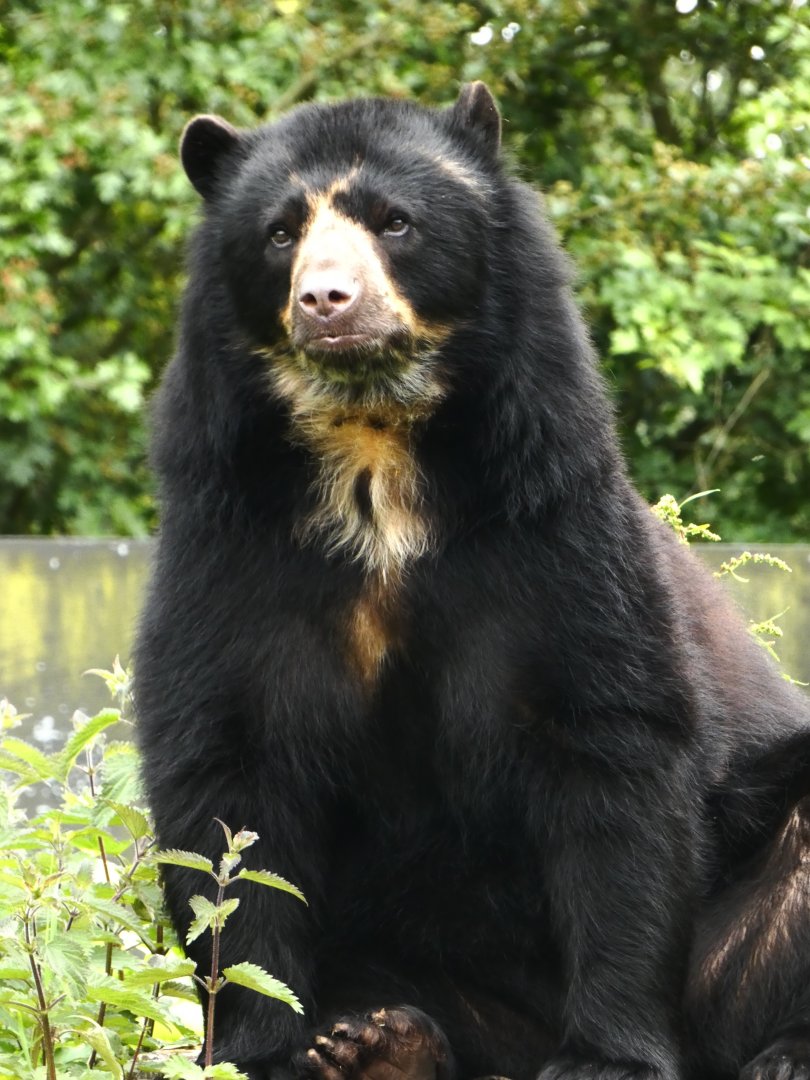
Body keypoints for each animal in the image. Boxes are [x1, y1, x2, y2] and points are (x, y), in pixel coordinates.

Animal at [134, 83, 810, 1080]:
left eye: (396, 222)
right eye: (280, 234)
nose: (326, 301)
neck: (374, 451)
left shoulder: (555, 524)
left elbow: (612, 743)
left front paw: (605, 1057)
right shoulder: (227, 538)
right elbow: (227, 782)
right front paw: (264, 1049)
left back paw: (782, 1052)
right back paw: (381, 1041)